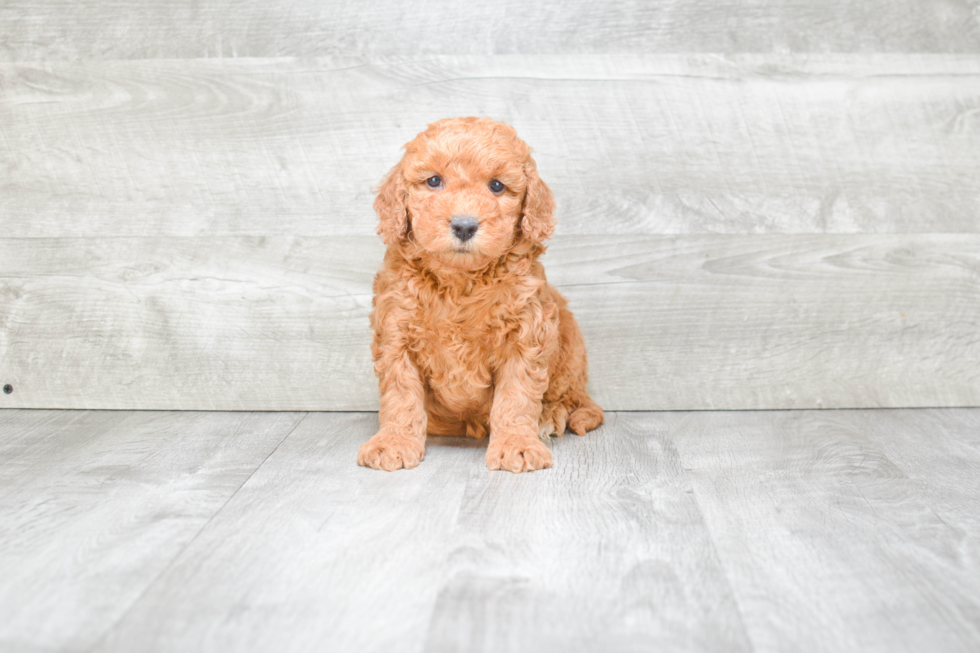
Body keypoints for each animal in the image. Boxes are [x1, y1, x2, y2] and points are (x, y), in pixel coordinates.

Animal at [360, 117, 604, 474]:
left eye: (497, 186)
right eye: (434, 181)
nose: (464, 225)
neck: (460, 281)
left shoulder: (526, 334)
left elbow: (516, 397)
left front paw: (516, 445)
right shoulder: (395, 333)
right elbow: (401, 395)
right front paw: (394, 441)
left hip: (569, 343)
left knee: (570, 397)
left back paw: (549, 416)